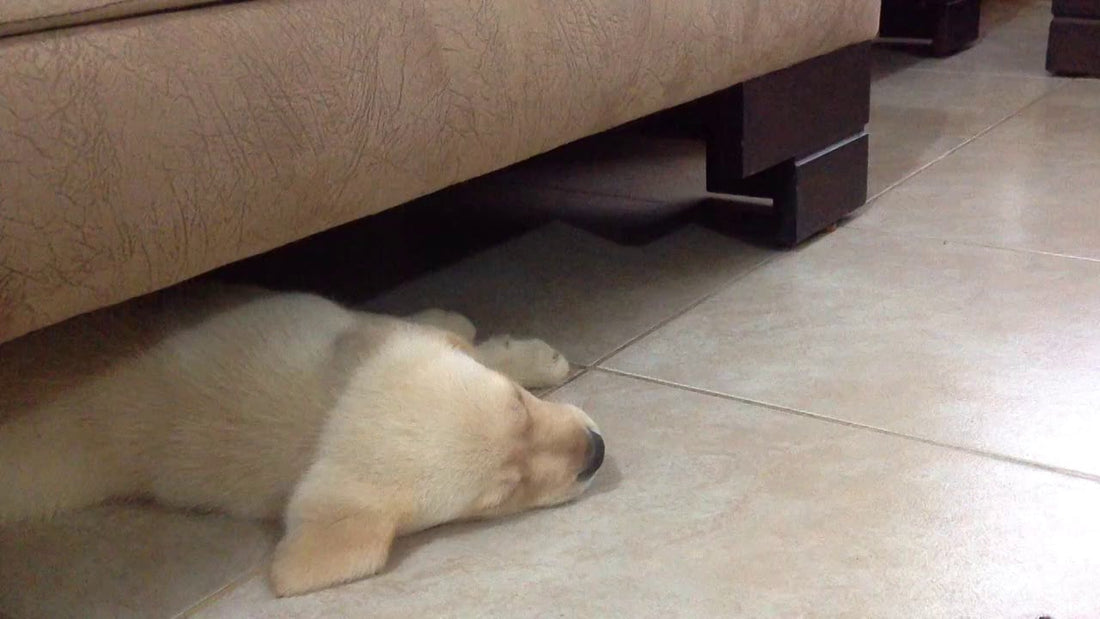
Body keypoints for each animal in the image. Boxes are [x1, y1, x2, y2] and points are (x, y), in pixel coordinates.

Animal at [0, 283, 602, 598]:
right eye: (501, 495)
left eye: (519, 404)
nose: (596, 452)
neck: (314, 414)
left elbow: (433, 334)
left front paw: (509, 350)